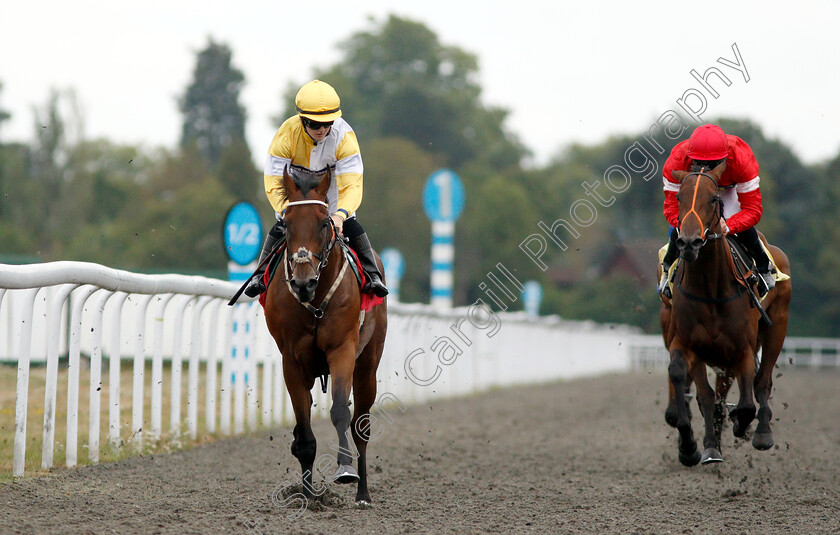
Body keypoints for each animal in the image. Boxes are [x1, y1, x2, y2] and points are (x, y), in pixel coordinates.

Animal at [264, 166, 388, 506]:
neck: (315, 301)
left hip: (368, 366)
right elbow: (304, 430)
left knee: (361, 426)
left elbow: (340, 411)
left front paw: (345, 470)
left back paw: (363, 493)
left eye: (323, 222)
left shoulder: (342, 349)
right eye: (286, 226)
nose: (302, 283)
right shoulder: (292, 361)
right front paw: (308, 497)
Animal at [660, 161, 792, 466]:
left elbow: (746, 402)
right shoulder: (688, 344)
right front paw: (694, 446)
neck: (710, 288)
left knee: (762, 380)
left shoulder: (742, 349)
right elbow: (697, 390)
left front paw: (742, 425)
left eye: (714, 199)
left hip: (776, 326)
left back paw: (762, 432)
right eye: (678, 198)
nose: (689, 243)